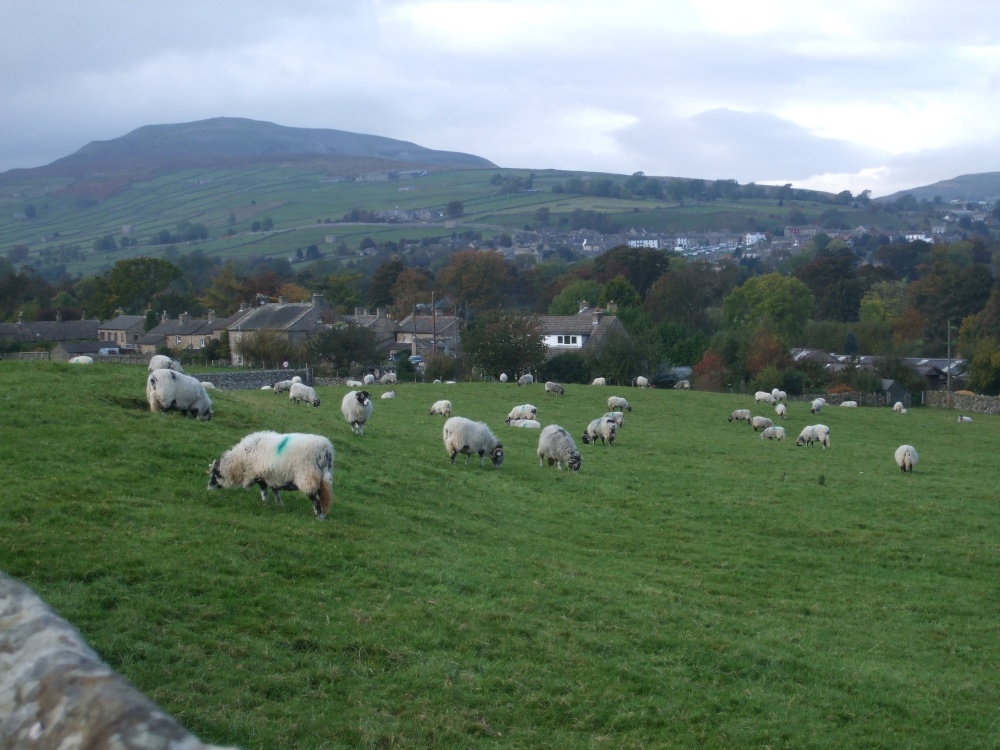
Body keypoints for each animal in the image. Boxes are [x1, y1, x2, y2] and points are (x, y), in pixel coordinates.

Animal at [205, 432, 334, 520]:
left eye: (214, 474)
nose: (208, 490)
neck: (240, 461)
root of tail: (326, 449)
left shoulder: (259, 475)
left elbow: (264, 491)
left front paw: (265, 504)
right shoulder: (272, 476)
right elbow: (275, 491)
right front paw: (280, 505)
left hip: (308, 478)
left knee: (316, 500)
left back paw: (319, 517)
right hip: (324, 478)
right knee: (323, 497)